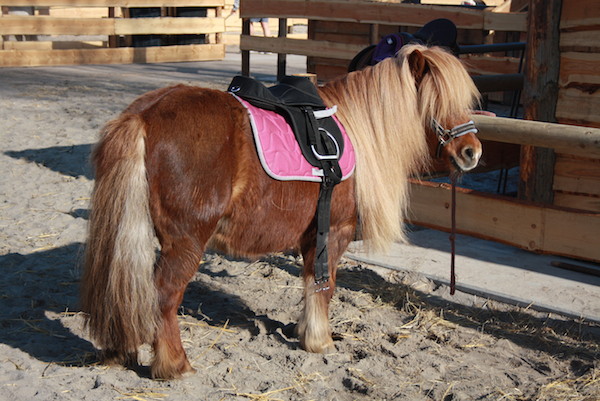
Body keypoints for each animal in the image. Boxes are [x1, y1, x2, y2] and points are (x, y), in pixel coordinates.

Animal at [81, 44, 482, 378]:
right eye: (438, 99)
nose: (472, 152)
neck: (356, 129)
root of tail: (144, 116)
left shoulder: (312, 238)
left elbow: (311, 283)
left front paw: (306, 332)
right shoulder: (335, 232)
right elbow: (325, 286)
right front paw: (320, 341)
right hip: (186, 242)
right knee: (163, 297)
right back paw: (174, 365)